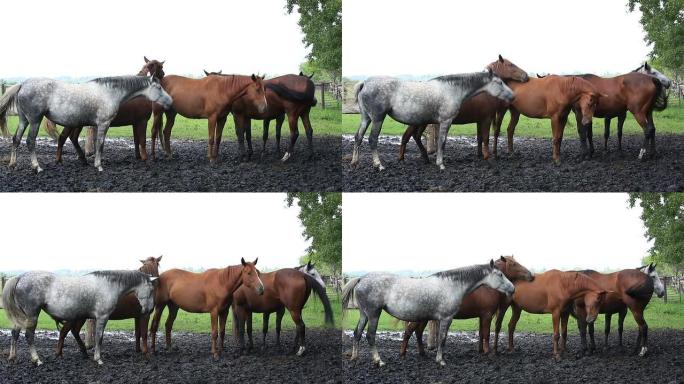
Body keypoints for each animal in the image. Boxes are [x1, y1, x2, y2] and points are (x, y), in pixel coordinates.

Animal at [0, 76, 171, 172]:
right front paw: (99, 166)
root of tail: (22, 84)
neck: (109, 92)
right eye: (158, 87)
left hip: (24, 120)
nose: (170, 101)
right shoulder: (103, 124)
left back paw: (13, 164)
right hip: (35, 120)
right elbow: (100, 144)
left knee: (16, 139)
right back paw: (37, 167)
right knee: (30, 141)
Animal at [1, 270, 158, 366]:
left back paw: (12, 357)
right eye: (151, 290)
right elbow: (99, 338)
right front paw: (98, 359)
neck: (108, 286)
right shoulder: (102, 317)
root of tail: (20, 277)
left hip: (22, 316)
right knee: (29, 336)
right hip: (32, 315)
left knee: (15, 334)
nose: (149, 309)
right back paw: (37, 360)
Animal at [342, 260, 512, 366]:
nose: (512, 288)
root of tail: (361, 279)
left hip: (364, 315)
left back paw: (355, 357)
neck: (452, 285)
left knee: (357, 333)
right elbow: (442, 339)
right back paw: (379, 361)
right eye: (500, 274)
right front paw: (440, 360)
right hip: (373, 314)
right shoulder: (446, 319)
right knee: (370, 336)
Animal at [352, 70, 512, 170]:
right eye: (500, 82)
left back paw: (355, 162)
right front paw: (440, 164)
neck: (452, 90)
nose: (512, 95)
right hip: (377, 119)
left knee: (358, 137)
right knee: (372, 140)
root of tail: (364, 83)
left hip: (366, 118)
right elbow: (442, 142)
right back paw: (378, 165)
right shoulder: (446, 122)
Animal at [400, 255, 536, 356]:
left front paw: (481, 350)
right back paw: (403, 353)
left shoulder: (482, 316)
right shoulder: (487, 315)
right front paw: (488, 351)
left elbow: (481, 333)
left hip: (423, 317)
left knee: (418, 332)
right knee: (409, 331)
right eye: (514, 264)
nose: (531, 275)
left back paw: (422, 353)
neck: (487, 286)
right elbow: (486, 333)